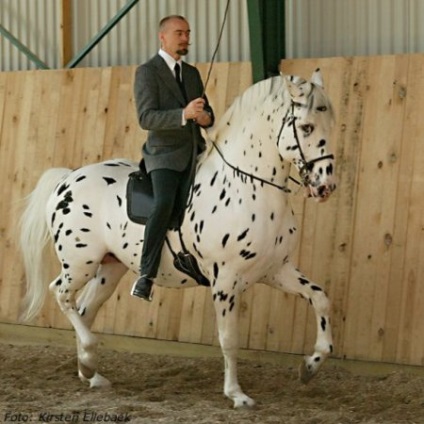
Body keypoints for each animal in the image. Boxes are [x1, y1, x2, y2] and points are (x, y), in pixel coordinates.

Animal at [19, 68, 338, 408]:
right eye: (306, 126)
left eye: (330, 123)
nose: (325, 186)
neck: (247, 186)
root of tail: (68, 178)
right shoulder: (226, 282)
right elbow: (229, 339)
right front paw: (236, 395)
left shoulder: (276, 270)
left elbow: (320, 298)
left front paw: (310, 366)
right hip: (80, 263)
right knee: (61, 293)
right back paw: (90, 358)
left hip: (110, 268)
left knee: (84, 309)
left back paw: (90, 372)